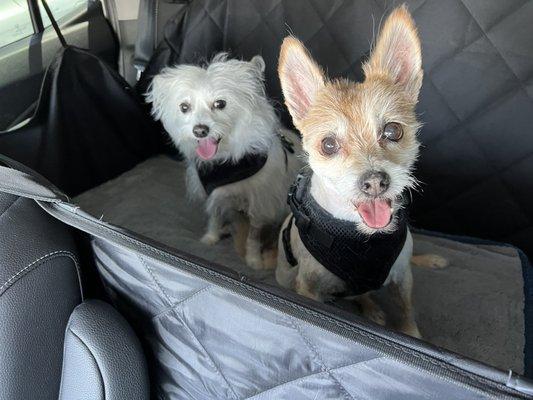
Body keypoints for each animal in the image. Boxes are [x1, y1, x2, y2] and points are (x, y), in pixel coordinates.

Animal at [145, 53, 302, 270]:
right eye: (184, 107)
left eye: (220, 104)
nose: (200, 130)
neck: (226, 162)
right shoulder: (215, 194)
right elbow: (214, 217)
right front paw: (211, 237)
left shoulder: (259, 205)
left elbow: (253, 237)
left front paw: (253, 260)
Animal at [274, 6, 444, 338]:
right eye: (328, 145)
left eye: (393, 131)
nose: (376, 181)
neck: (361, 239)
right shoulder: (308, 289)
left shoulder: (402, 277)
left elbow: (406, 314)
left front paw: (411, 334)